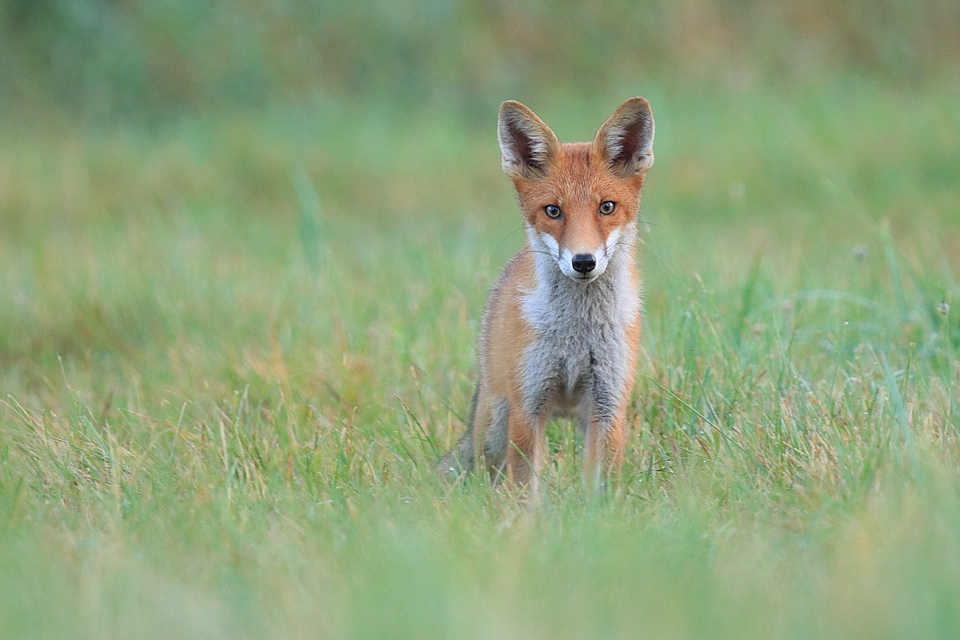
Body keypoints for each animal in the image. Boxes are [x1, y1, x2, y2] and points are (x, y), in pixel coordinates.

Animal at [438, 97, 656, 490]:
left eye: (607, 207)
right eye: (553, 210)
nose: (583, 261)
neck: (577, 334)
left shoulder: (608, 406)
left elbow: (602, 489)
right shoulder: (529, 405)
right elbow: (525, 490)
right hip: (494, 426)